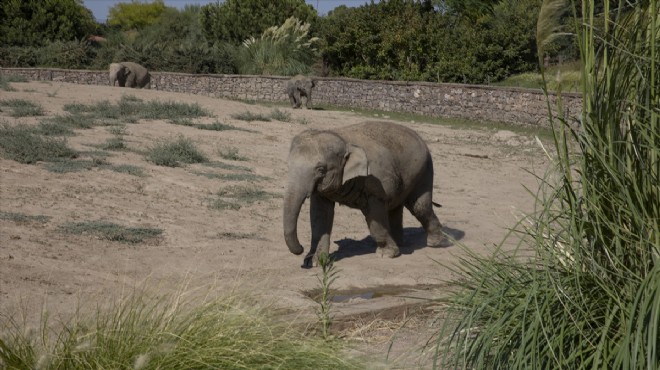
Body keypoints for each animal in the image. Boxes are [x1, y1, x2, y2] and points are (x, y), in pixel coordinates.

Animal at [282, 120, 444, 268]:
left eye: (321, 170)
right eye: (288, 165)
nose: (301, 248)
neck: (343, 139)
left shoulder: (376, 182)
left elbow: (375, 215)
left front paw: (386, 254)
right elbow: (320, 215)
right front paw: (314, 262)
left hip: (424, 171)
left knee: (420, 207)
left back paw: (435, 243)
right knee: (395, 208)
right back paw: (400, 243)